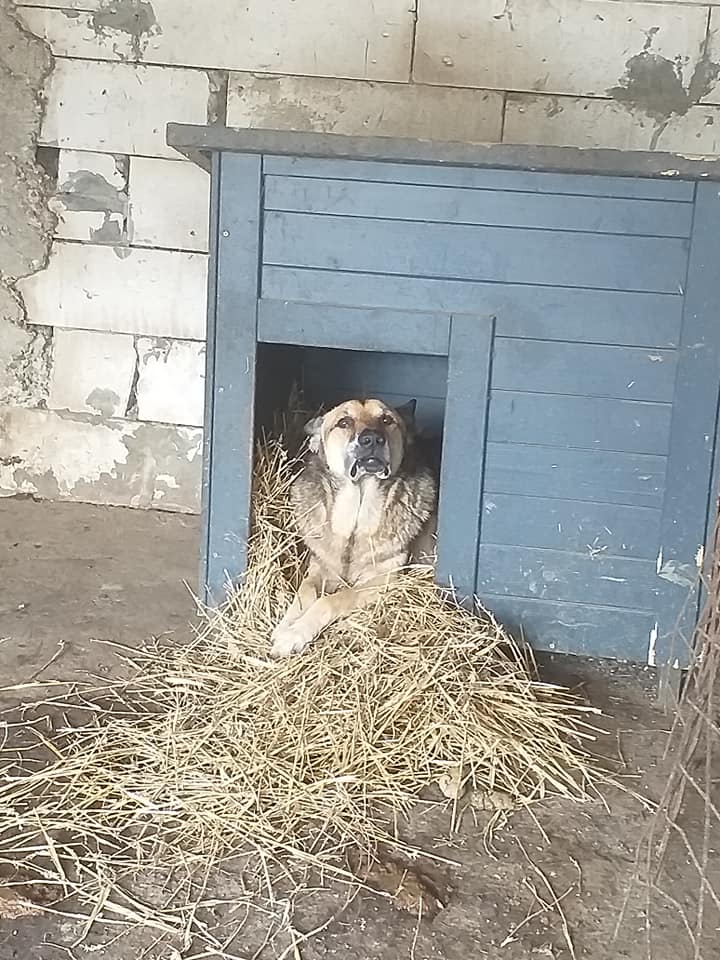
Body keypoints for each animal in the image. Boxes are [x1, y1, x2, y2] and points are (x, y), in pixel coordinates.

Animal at [270, 398, 438, 660]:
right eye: (344, 422)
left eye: (387, 419)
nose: (372, 439)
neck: (356, 515)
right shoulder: (318, 569)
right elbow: (304, 593)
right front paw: (285, 626)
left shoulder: (382, 581)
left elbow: (331, 600)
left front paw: (295, 633)